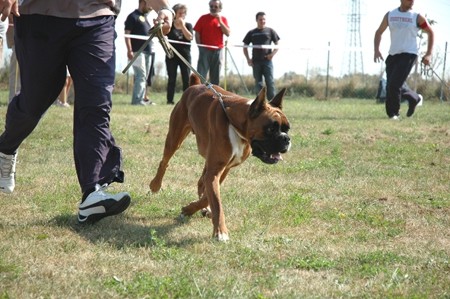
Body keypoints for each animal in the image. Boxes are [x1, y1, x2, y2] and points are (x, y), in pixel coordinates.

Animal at [150, 74, 292, 241]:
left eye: (287, 129)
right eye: (270, 129)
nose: (286, 139)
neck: (235, 123)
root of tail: (194, 85)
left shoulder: (223, 169)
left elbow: (209, 196)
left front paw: (192, 208)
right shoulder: (215, 171)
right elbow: (216, 201)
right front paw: (220, 232)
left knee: (201, 182)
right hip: (174, 139)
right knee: (164, 162)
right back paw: (155, 185)